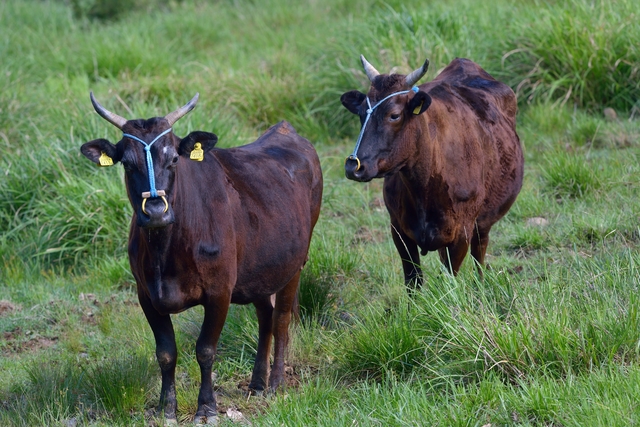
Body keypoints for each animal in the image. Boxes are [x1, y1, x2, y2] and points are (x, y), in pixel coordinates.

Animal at [80, 93, 322, 424]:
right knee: (265, 317)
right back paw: (257, 383)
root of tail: (285, 130)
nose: (155, 211)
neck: (166, 255)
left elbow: (205, 350)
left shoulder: (219, 291)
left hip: (294, 263)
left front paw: (206, 408)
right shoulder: (146, 295)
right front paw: (166, 408)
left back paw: (275, 384)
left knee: (282, 319)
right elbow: (166, 353)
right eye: (127, 164)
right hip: (260, 270)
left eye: (173, 159)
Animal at [342, 56, 524, 290]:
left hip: (482, 222)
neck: (423, 187)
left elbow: (449, 281)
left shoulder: (461, 232)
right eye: (360, 113)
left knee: (479, 254)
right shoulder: (398, 228)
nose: (353, 166)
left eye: (394, 115)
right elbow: (413, 281)